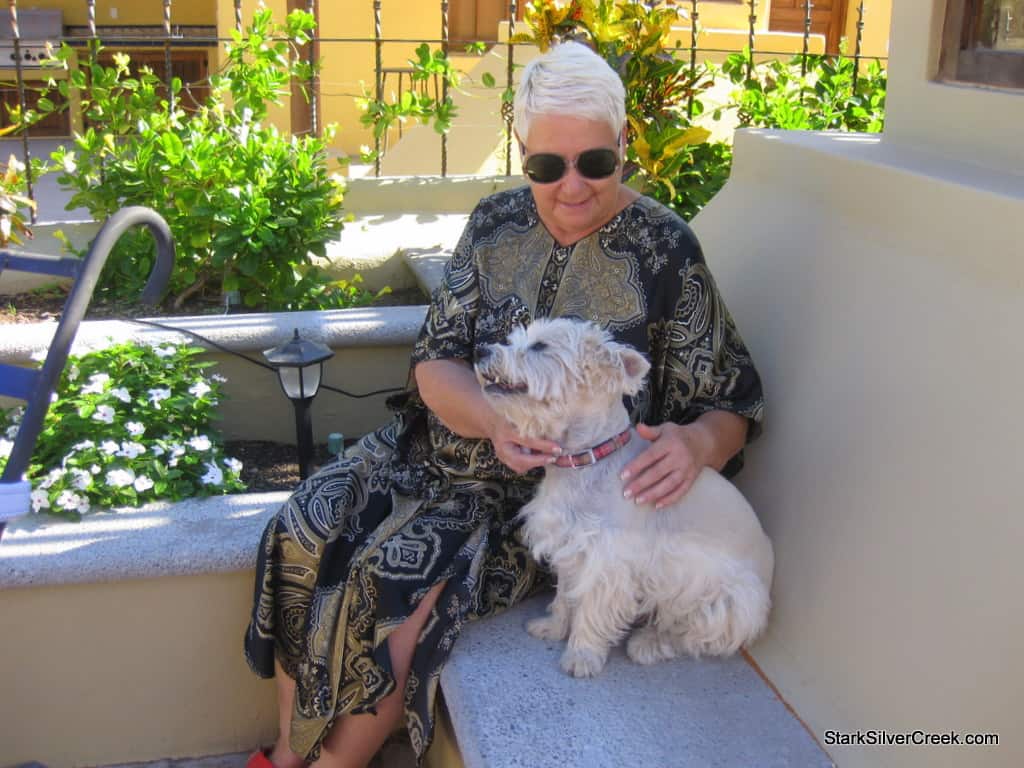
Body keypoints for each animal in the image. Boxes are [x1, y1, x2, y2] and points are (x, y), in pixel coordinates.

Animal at [475, 319, 770, 679]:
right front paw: (553, 627)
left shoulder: (609, 561)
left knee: (690, 632)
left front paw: (581, 656)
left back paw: (648, 644)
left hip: (726, 600)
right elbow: (566, 594)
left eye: (540, 346)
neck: (584, 462)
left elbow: (591, 608)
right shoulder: (569, 544)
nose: (482, 350)